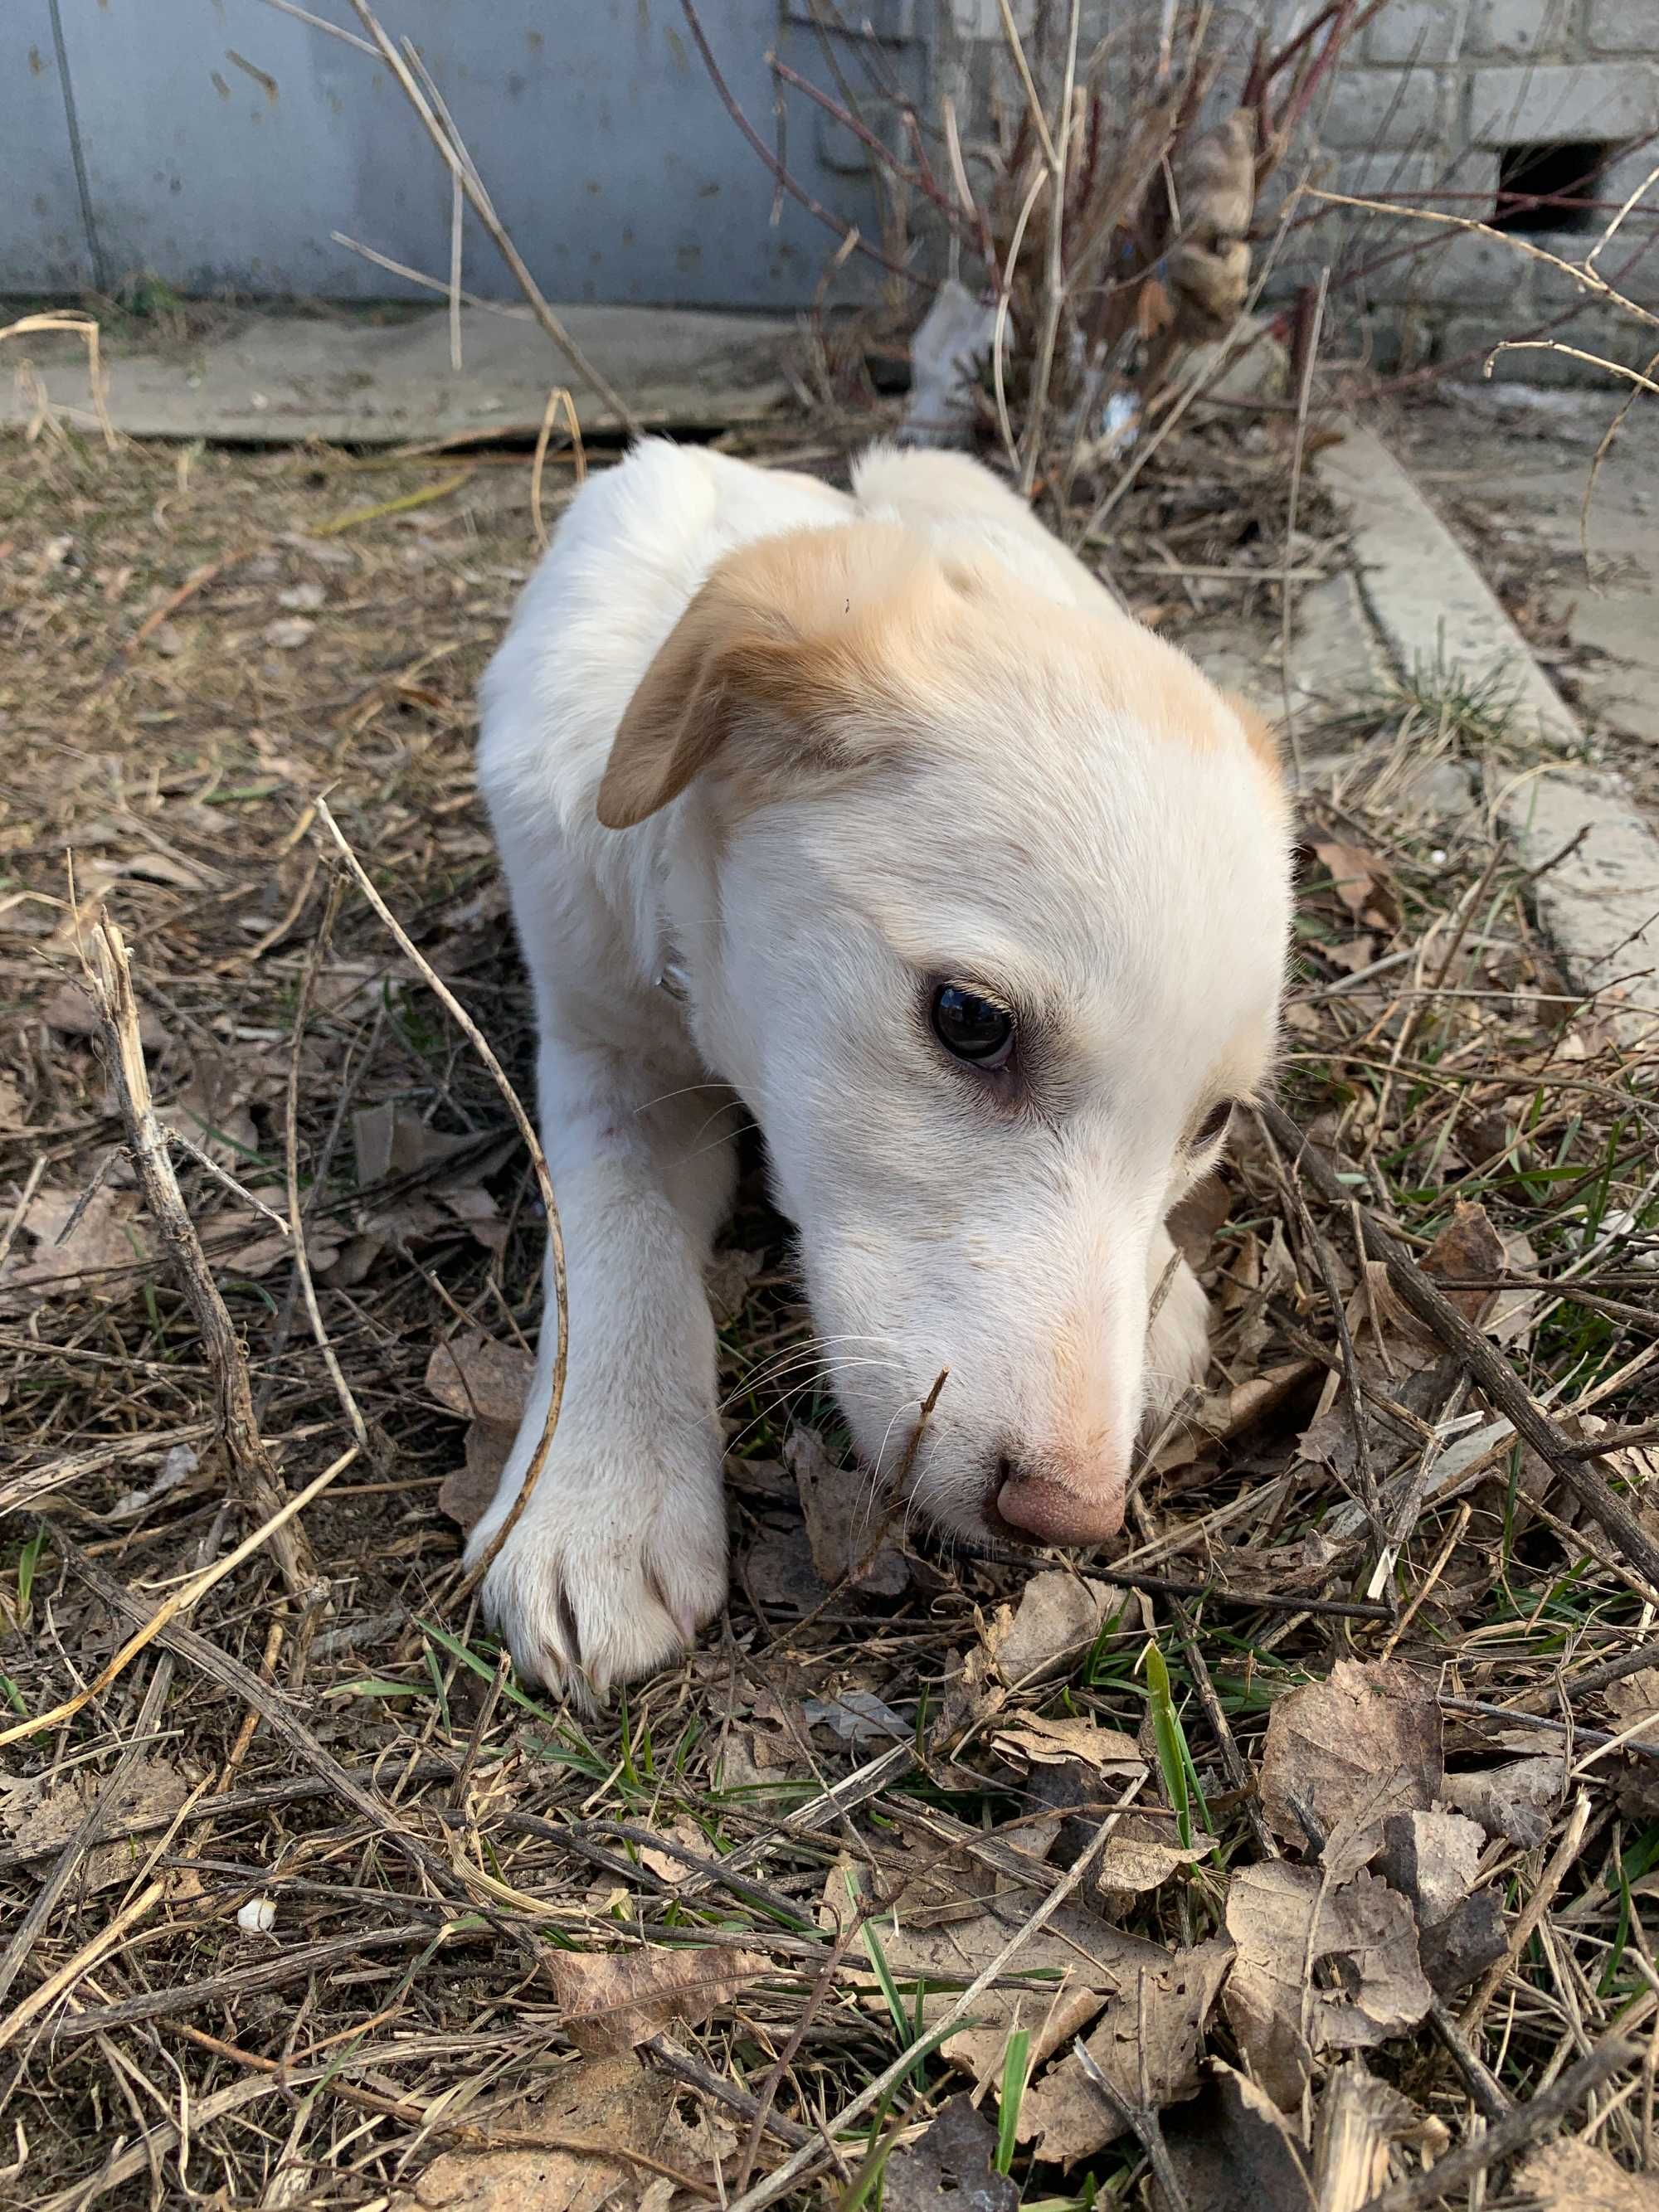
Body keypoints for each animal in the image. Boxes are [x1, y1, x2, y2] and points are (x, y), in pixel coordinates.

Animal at [471, 445, 1301, 1689]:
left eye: (1212, 1125)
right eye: (969, 1019)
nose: (1069, 1517)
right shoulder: (598, 1040)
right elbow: (611, 1237)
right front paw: (594, 1496)